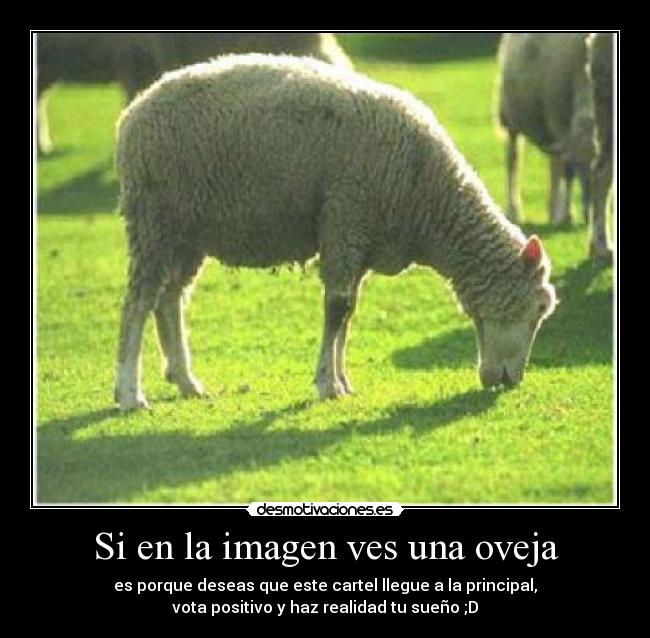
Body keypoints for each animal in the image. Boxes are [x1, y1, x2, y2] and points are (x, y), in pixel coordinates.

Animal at [114, 54, 557, 411]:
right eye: (537, 309)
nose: (510, 381)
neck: (427, 196)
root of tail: (133, 114)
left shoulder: (358, 241)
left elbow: (347, 313)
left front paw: (342, 382)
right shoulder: (346, 221)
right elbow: (337, 308)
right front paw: (327, 385)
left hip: (186, 234)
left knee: (169, 299)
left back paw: (186, 381)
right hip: (153, 220)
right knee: (138, 303)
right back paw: (129, 394)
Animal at [497, 33, 596, 227]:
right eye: (579, 168)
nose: (589, 216)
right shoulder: (558, 121)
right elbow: (567, 172)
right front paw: (566, 215)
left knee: (553, 164)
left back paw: (552, 210)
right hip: (512, 118)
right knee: (513, 160)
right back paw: (514, 210)